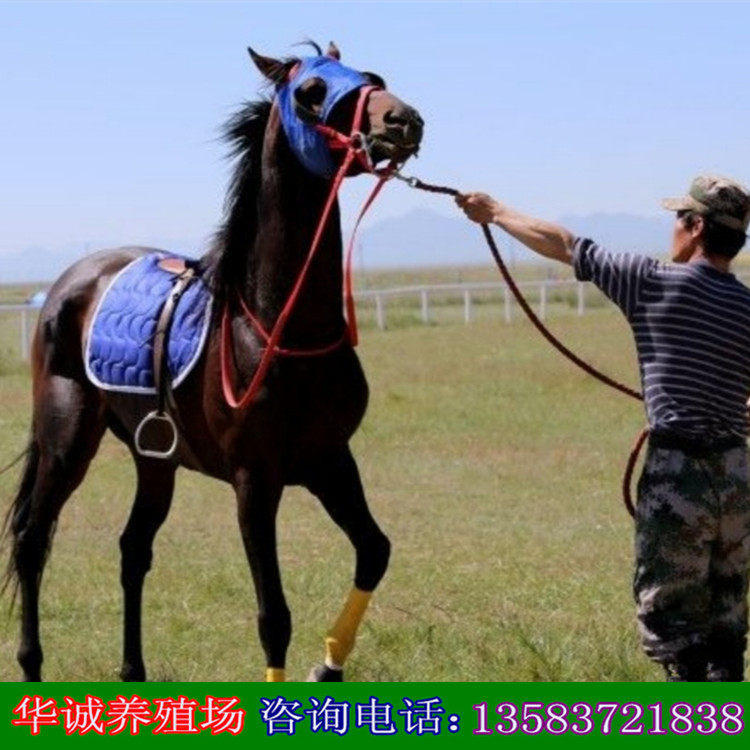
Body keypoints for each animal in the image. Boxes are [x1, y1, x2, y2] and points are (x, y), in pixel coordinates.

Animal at [4, 41, 423, 682]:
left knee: (133, 549)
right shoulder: (255, 480)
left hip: (154, 459)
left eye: (372, 77)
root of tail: (73, 280)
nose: (402, 121)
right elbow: (274, 617)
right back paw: (31, 668)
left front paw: (328, 666)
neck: (275, 326)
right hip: (66, 436)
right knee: (31, 540)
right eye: (312, 94)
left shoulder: (329, 460)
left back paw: (133, 672)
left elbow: (374, 551)